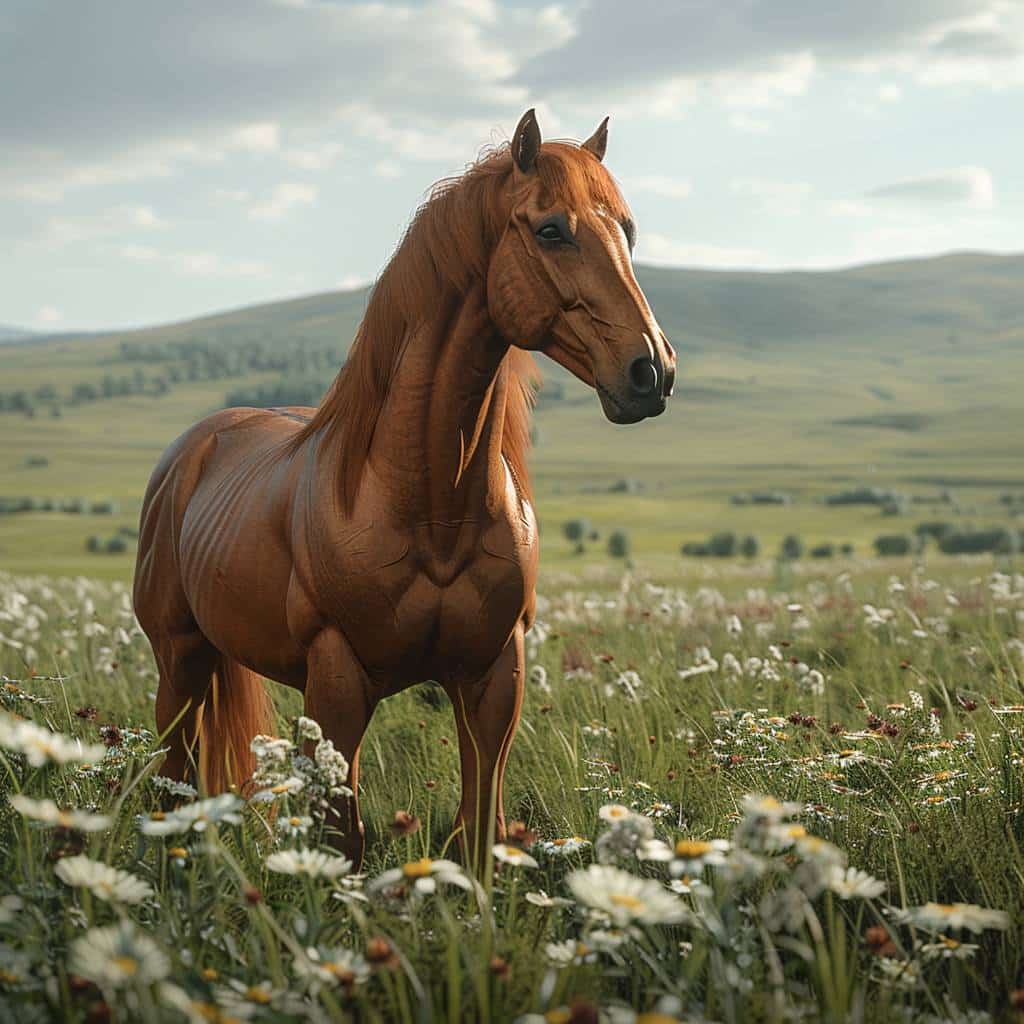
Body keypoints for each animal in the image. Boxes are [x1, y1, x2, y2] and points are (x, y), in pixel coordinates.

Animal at [134, 108, 679, 868]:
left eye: (627, 230)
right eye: (550, 229)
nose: (651, 371)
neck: (430, 510)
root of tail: (196, 445)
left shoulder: (493, 677)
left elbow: (478, 830)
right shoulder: (337, 678)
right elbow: (344, 839)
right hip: (180, 660)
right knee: (174, 778)